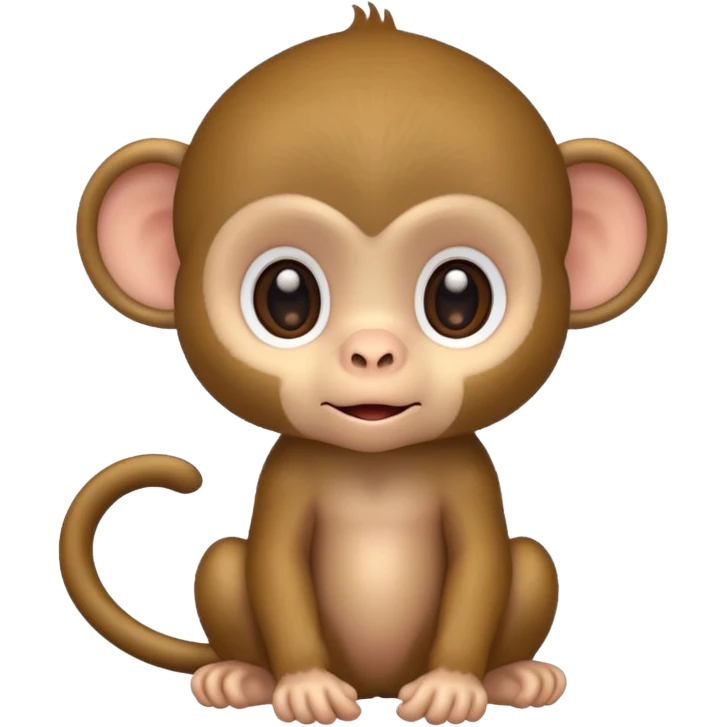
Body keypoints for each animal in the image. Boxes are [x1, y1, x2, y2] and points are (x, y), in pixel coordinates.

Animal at [60, 3, 669, 725]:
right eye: (286, 297)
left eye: (458, 298)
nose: (372, 351)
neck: (376, 467)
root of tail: (379, 682)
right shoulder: (288, 478)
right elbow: (274, 565)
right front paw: (304, 687)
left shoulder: (469, 476)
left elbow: (483, 565)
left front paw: (453, 686)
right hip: (226, 581)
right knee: (226, 562)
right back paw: (241, 677)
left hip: (526, 579)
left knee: (527, 562)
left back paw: (514, 678)